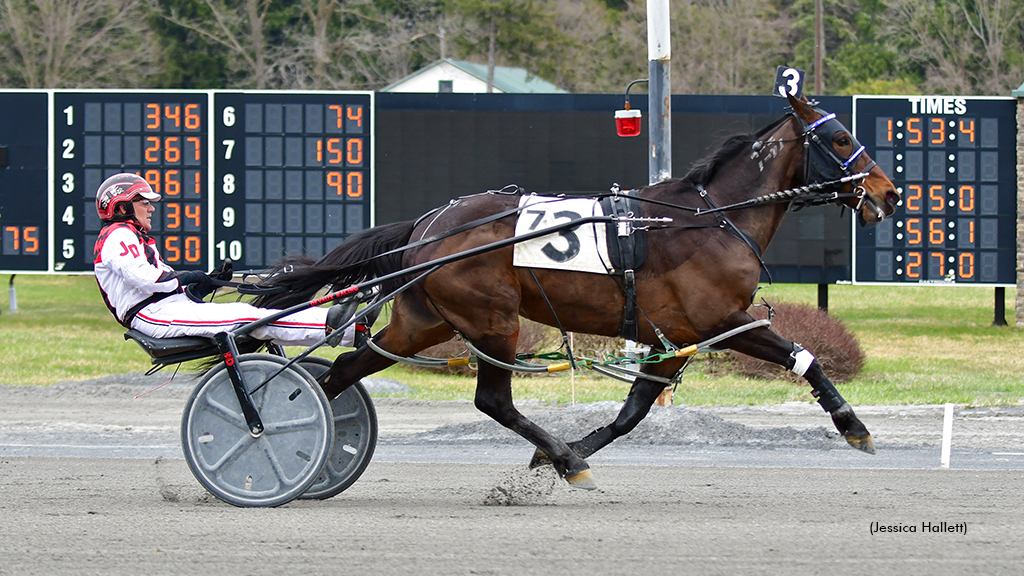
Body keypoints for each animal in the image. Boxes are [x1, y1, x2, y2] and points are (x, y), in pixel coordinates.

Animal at [249, 95, 897, 487]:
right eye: (842, 138)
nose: (889, 194)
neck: (709, 220)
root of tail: (429, 223)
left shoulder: (674, 338)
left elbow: (634, 412)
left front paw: (570, 450)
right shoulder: (722, 320)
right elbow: (804, 358)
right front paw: (854, 427)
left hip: (422, 323)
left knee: (343, 371)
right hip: (493, 319)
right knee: (493, 401)